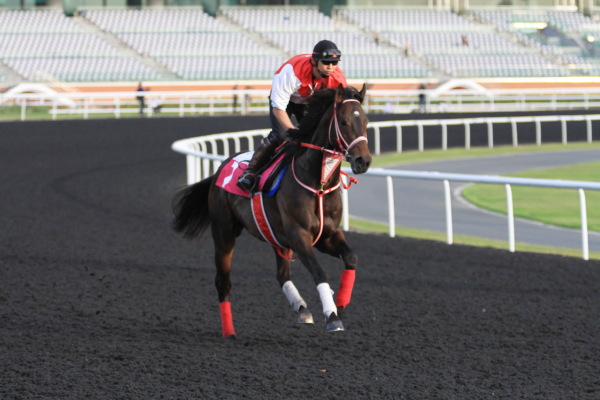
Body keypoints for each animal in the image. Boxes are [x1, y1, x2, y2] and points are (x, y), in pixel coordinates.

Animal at [171, 84, 372, 338]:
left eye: (365, 120)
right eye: (344, 122)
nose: (363, 161)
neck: (318, 184)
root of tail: (221, 167)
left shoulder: (327, 236)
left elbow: (351, 257)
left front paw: (342, 304)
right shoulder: (299, 236)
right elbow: (320, 273)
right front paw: (332, 316)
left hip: (278, 239)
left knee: (282, 275)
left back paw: (301, 308)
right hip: (224, 234)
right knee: (223, 282)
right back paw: (229, 331)